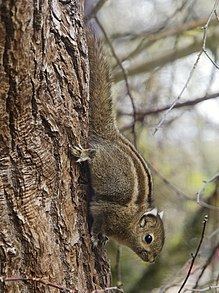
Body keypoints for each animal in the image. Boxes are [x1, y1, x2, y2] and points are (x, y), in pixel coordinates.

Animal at [72, 33, 165, 262]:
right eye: (148, 238)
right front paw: (96, 236)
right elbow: (99, 222)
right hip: (105, 164)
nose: (151, 260)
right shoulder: (108, 212)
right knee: (95, 154)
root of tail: (110, 136)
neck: (131, 221)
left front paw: (102, 238)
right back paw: (85, 154)